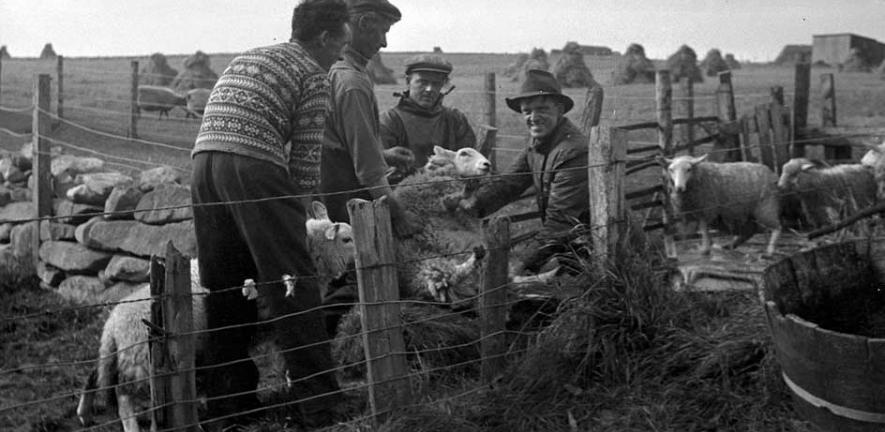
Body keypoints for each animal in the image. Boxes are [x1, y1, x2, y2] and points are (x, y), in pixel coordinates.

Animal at [76, 202, 352, 432]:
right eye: (347, 239)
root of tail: (112, 324)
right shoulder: (271, 323)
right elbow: (286, 353)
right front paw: (293, 383)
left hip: (123, 354)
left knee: (96, 374)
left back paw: (84, 414)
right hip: (140, 357)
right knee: (123, 394)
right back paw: (131, 426)